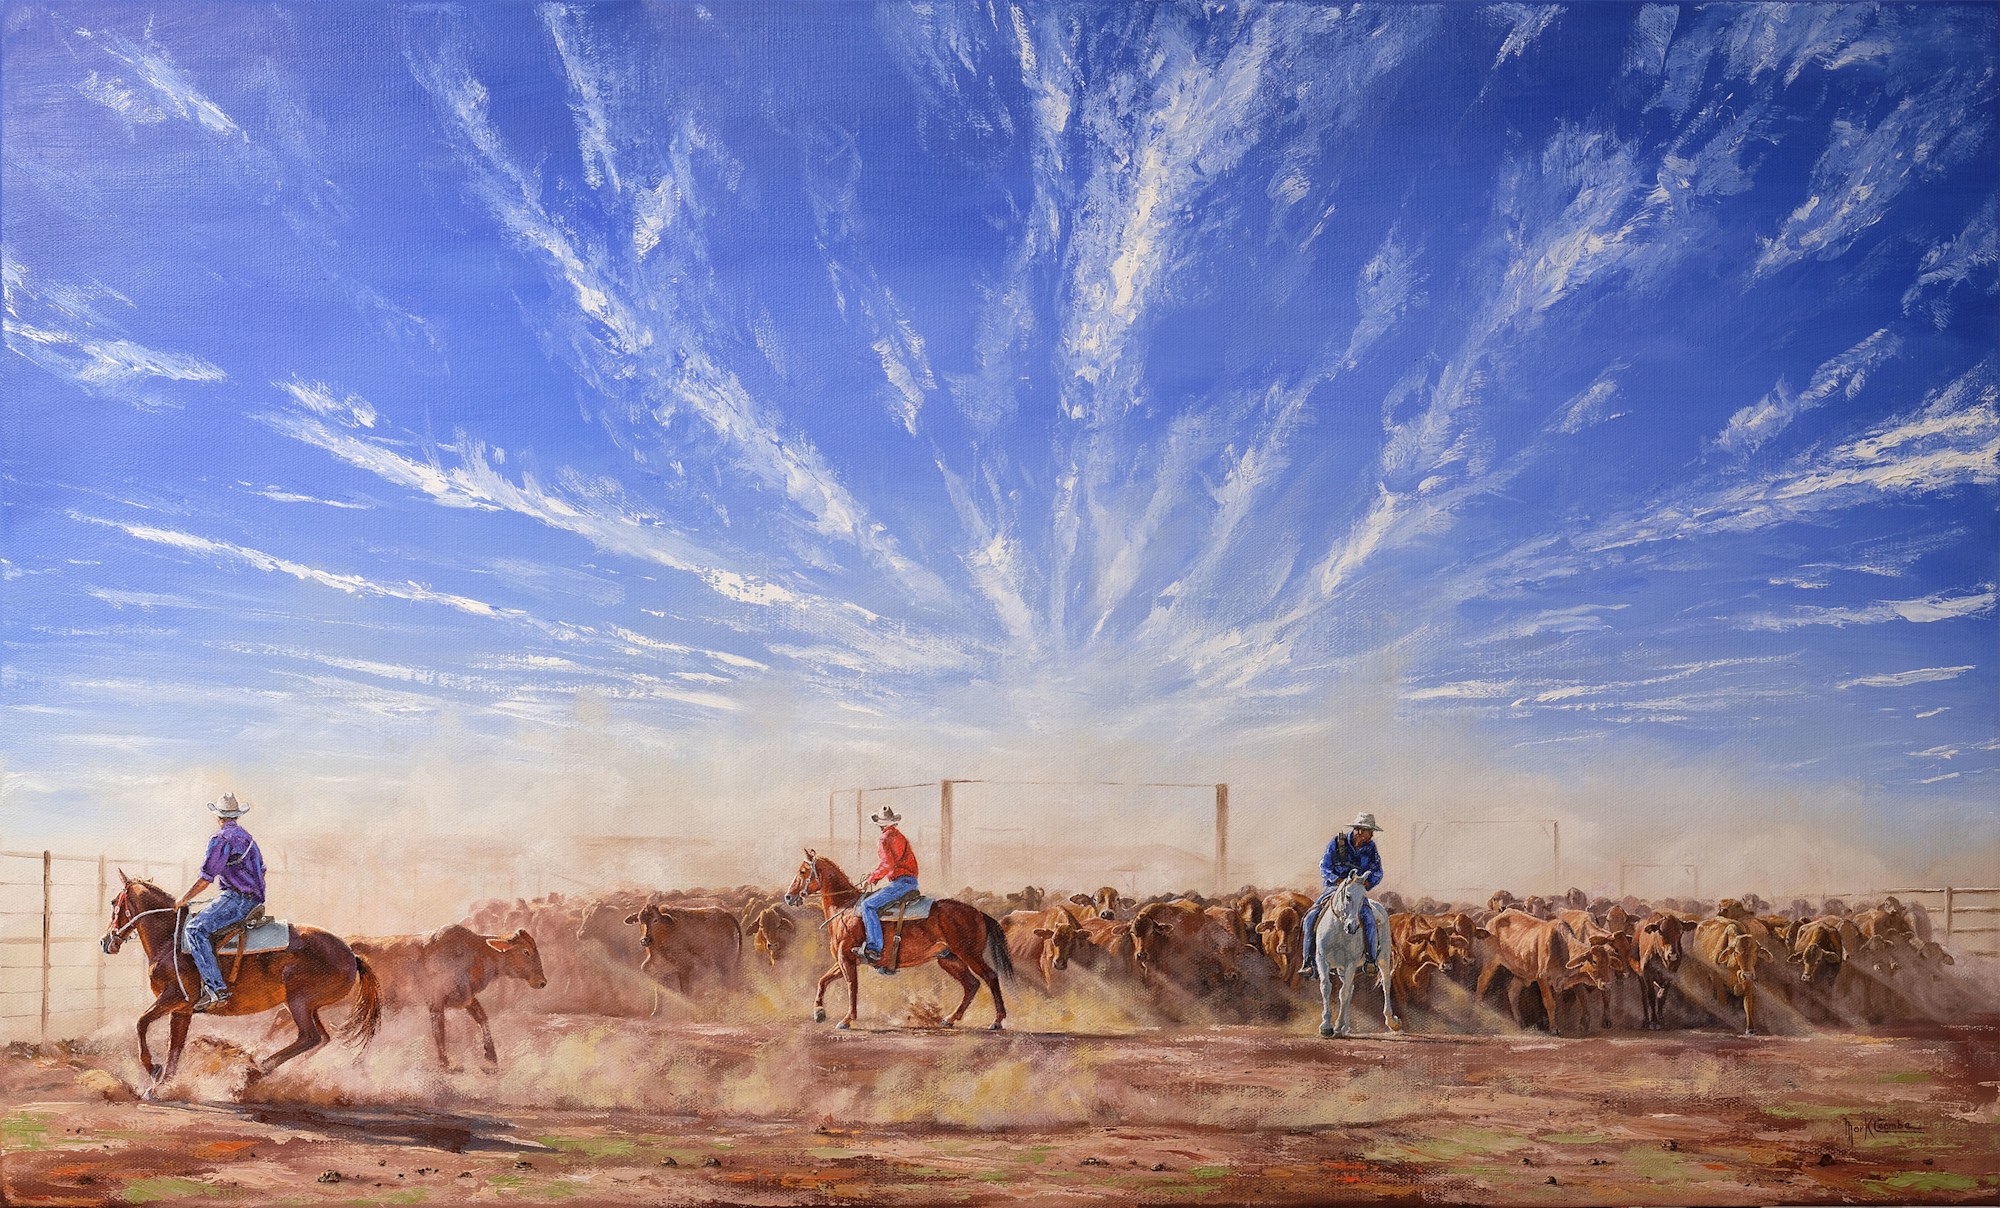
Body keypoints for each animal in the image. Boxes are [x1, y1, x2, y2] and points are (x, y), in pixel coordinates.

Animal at [99, 873, 382, 1096]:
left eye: (114, 902)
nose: (106, 941)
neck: (172, 940)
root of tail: (351, 955)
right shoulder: (182, 1010)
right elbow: (175, 1047)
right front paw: (162, 1085)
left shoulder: (173, 997)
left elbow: (141, 1023)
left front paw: (153, 1070)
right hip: (308, 1006)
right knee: (320, 1038)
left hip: (299, 1001)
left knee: (309, 1037)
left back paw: (251, 1074)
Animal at [349, 925, 546, 1070]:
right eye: (526, 951)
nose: (542, 982)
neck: (473, 955)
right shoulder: (436, 1001)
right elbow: (439, 1030)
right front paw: (445, 1063)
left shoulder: (467, 997)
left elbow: (482, 1018)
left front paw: (491, 1056)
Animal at [782, 849, 1013, 1030]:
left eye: (802, 872)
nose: (788, 897)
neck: (844, 908)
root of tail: (978, 913)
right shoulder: (844, 960)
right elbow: (823, 980)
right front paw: (819, 1012)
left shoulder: (846, 959)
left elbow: (851, 986)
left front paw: (847, 1020)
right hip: (948, 959)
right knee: (971, 984)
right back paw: (950, 1019)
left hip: (969, 954)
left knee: (990, 977)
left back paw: (997, 1021)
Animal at [1312, 873, 1404, 1038]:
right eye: (1348, 896)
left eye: (1362, 898)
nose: (1352, 926)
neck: (1338, 931)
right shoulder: (1322, 959)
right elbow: (1326, 987)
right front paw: (1326, 1026)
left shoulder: (1350, 963)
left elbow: (1343, 993)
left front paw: (1337, 1026)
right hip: (1341, 968)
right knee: (1351, 989)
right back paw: (1345, 1027)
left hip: (1383, 959)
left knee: (1386, 984)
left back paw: (1391, 1021)